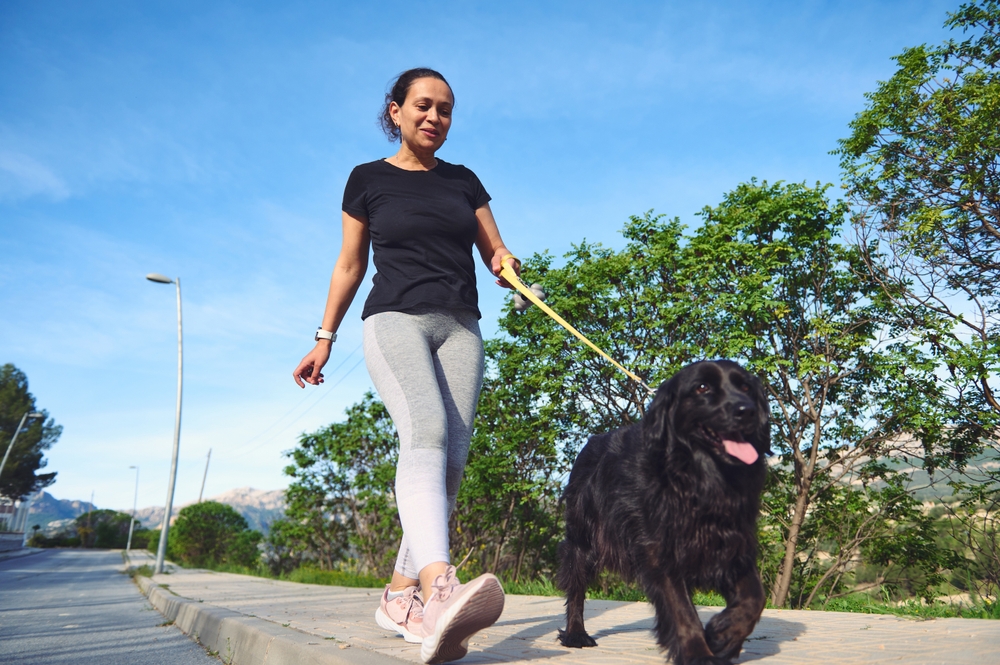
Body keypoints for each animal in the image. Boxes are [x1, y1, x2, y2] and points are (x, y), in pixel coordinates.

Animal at [560, 360, 768, 660]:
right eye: (702, 387)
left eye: (746, 387)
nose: (747, 410)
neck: (700, 476)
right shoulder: (660, 550)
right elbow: (682, 611)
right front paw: (699, 654)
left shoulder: (731, 544)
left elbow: (755, 598)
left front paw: (723, 635)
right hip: (583, 540)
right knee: (576, 587)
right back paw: (576, 633)